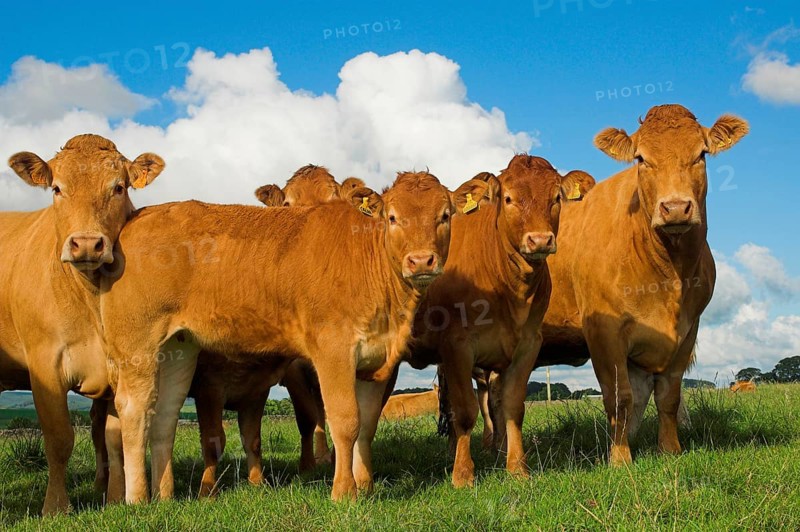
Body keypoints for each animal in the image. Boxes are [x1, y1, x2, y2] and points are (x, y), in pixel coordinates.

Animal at [0, 134, 164, 514]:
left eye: (118, 187)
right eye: (57, 188)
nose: (87, 243)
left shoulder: (116, 365)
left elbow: (114, 438)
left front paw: (116, 498)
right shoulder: (44, 366)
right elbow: (59, 438)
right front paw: (55, 507)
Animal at [410, 155, 595, 488]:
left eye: (556, 198)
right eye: (508, 198)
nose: (540, 240)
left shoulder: (528, 345)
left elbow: (512, 407)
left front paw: (517, 467)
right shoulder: (457, 346)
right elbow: (465, 410)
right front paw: (463, 474)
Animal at [539, 104, 748, 466]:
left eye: (701, 154)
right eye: (641, 158)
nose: (676, 208)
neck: (668, 273)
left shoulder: (686, 332)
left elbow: (667, 396)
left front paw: (670, 449)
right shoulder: (604, 332)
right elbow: (620, 398)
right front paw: (620, 458)